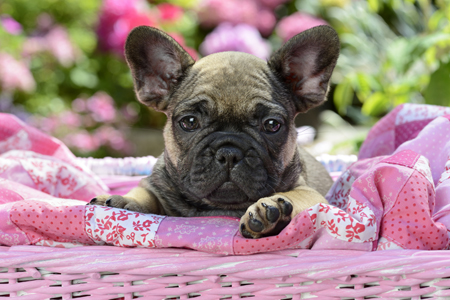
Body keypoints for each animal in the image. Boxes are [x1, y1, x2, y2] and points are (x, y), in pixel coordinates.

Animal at [89, 24, 340, 238]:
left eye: (271, 125)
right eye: (189, 122)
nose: (229, 152)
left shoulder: (310, 194)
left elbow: (294, 196)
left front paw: (269, 211)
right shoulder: (155, 185)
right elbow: (144, 193)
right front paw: (121, 200)